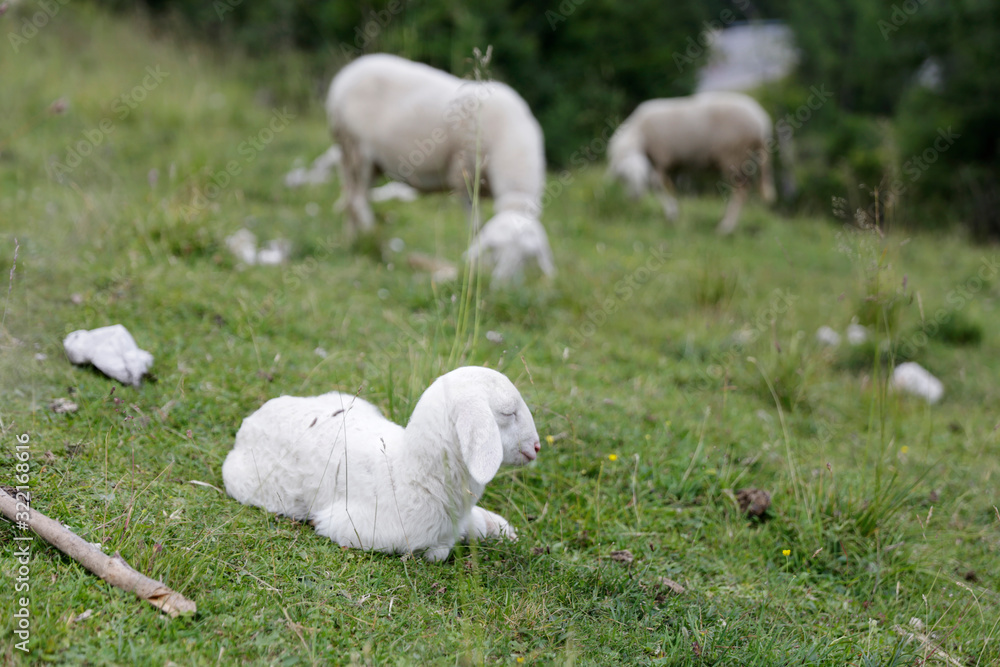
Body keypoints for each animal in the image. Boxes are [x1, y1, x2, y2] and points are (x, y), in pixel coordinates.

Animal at [221, 366, 541, 562]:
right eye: (508, 413)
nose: (537, 447)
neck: (411, 473)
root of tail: (253, 418)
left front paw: (503, 529)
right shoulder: (351, 527)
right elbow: (438, 551)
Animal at [325, 53, 554, 282]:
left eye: (526, 258)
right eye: (497, 249)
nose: (502, 283)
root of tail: (346, 73)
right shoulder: (464, 177)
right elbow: (475, 226)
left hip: (363, 159)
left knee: (352, 198)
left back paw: (352, 239)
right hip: (355, 145)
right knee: (357, 201)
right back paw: (373, 237)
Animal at [608, 91, 777, 234]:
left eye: (638, 175)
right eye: (623, 177)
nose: (635, 198)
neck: (639, 132)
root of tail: (762, 122)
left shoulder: (661, 159)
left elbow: (658, 186)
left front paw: (671, 214)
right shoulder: (672, 165)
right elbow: (671, 188)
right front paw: (676, 211)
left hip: (734, 155)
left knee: (741, 190)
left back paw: (726, 227)